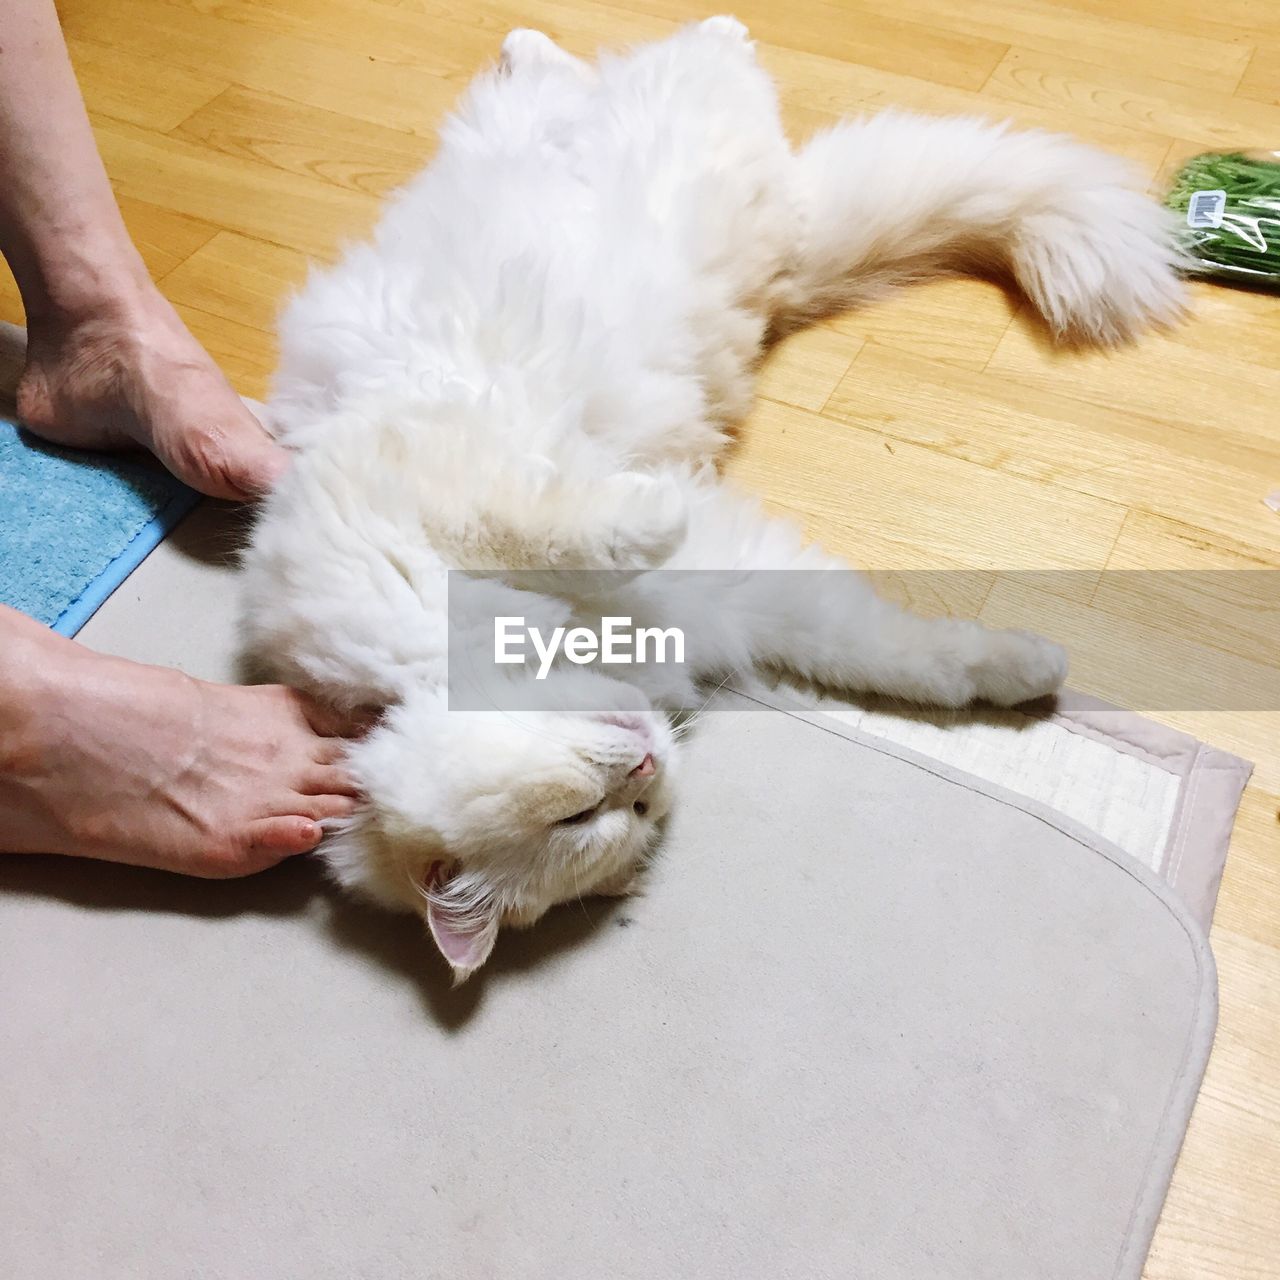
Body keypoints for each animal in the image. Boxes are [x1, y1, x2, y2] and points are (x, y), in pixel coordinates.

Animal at [241, 15, 1187, 977]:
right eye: (605, 821)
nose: (645, 768)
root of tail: (789, 260)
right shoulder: (735, 590)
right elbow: (900, 655)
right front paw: (1024, 671)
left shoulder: (433, 486)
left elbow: (564, 525)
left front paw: (651, 503)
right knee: (586, 78)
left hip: (651, 144)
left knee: (644, 62)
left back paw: (645, 33)